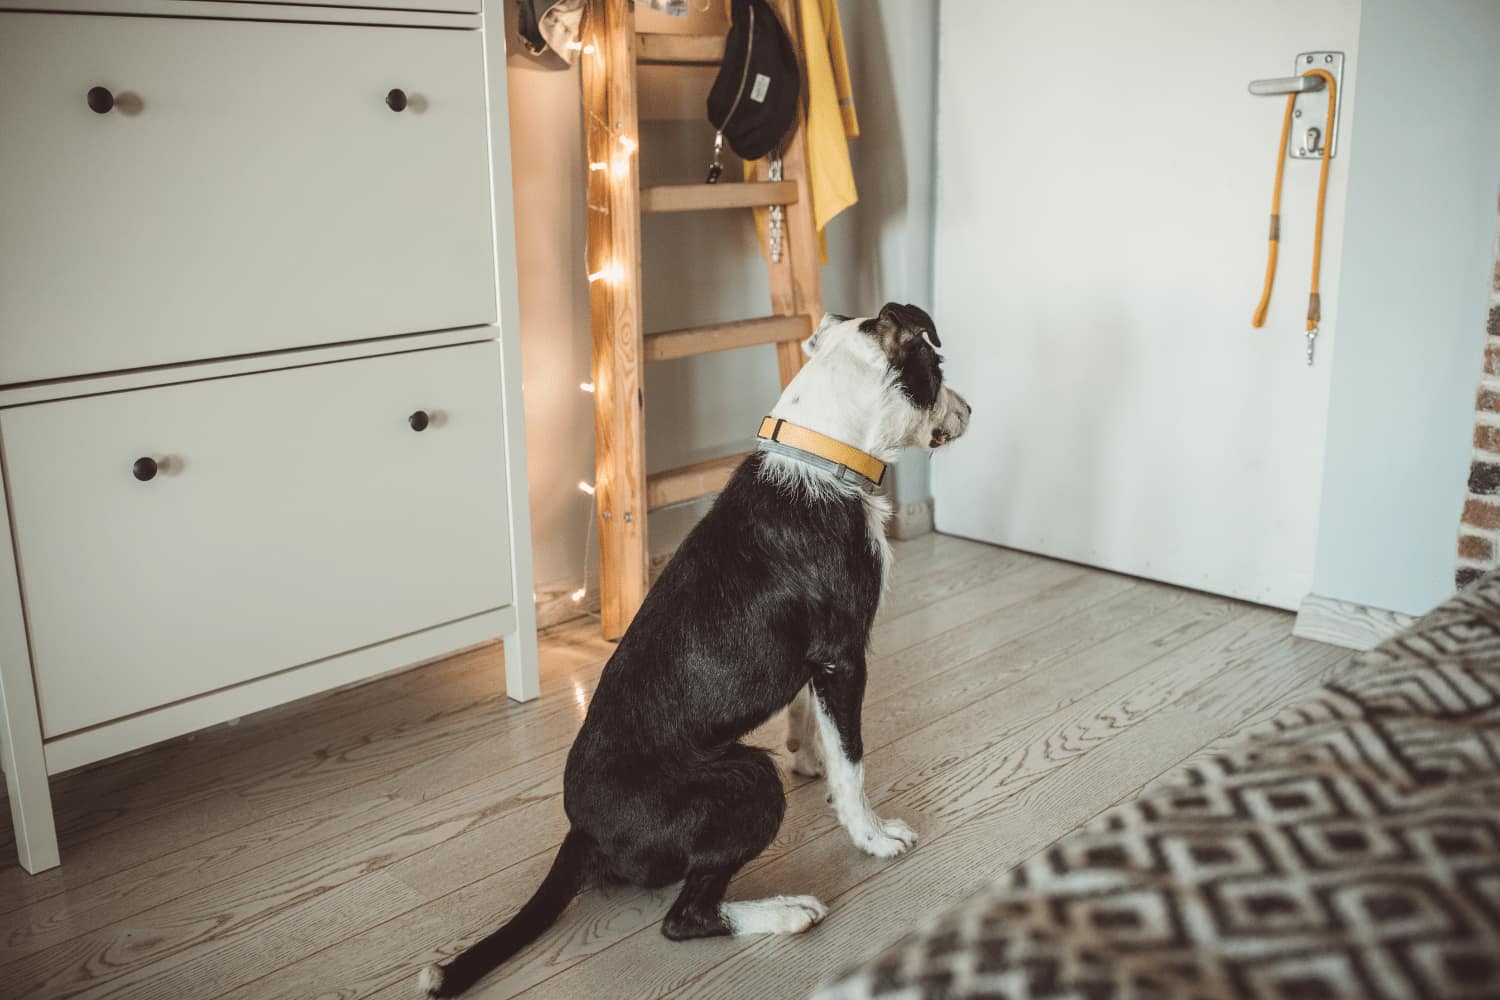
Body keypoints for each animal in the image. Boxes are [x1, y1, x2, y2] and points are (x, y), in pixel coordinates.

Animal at [420, 301, 972, 995]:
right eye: (937, 371)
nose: (970, 408)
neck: (823, 455)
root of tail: (582, 832)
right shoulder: (843, 654)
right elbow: (854, 764)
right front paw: (871, 836)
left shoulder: (815, 663)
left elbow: (813, 720)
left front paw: (808, 756)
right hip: (748, 779)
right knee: (685, 918)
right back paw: (786, 911)